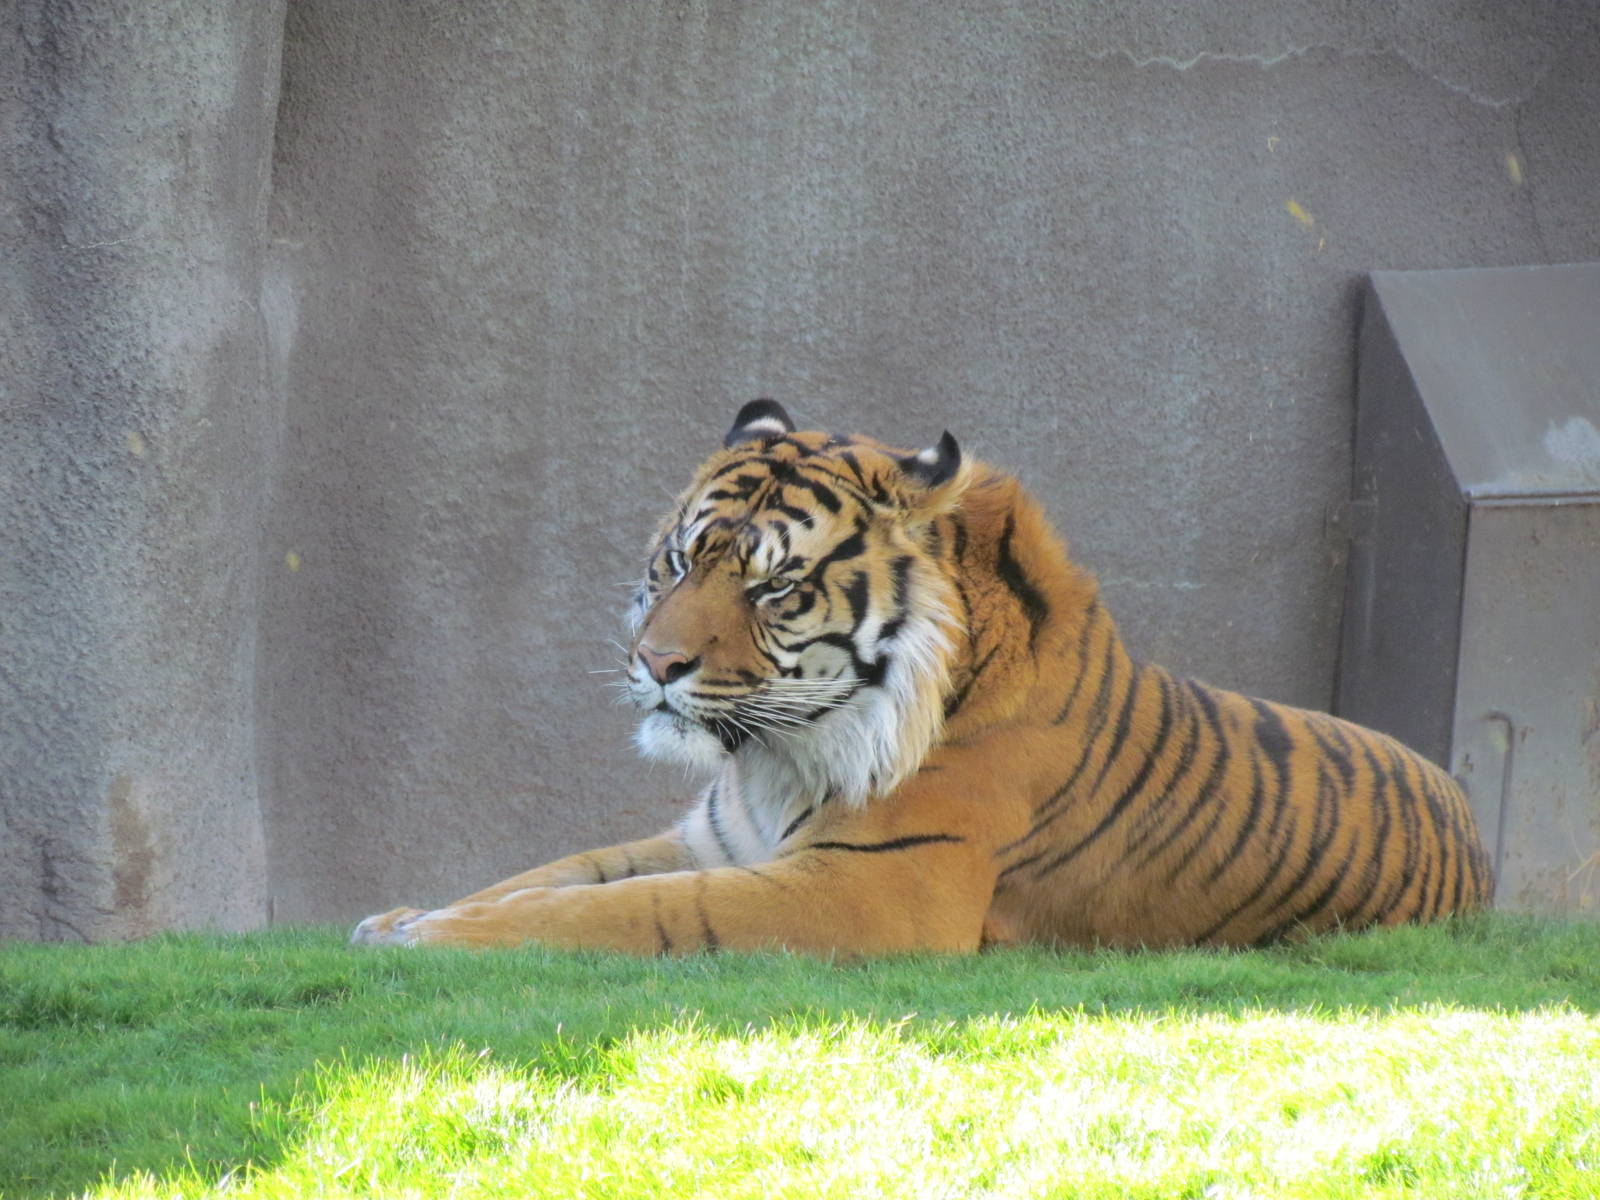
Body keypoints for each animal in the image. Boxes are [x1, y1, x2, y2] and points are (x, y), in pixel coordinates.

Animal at [352, 400, 1492, 953]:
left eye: (773, 588)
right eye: (677, 563)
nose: (655, 663)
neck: (779, 758)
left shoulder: (875, 889)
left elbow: (637, 914)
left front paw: (429, 937)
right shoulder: (709, 840)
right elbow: (556, 875)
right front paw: (401, 915)